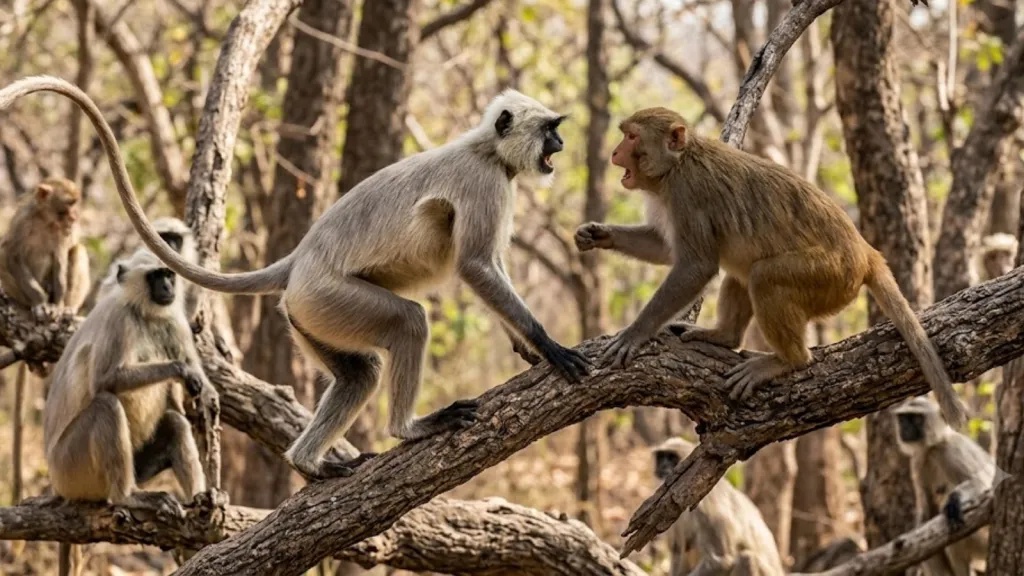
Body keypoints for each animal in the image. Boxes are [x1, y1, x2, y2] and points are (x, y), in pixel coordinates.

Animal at [0, 176, 90, 314]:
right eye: (69, 203)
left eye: (74, 203)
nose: (74, 217)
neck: (45, 219)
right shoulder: (22, 220)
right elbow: (13, 256)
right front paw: (40, 302)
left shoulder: (62, 230)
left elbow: (60, 259)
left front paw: (59, 305)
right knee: (3, 254)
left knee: (78, 250)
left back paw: (69, 308)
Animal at [575, 107, 966, 429]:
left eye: (631, 137)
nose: (614, 153)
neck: (678, 164)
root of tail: (865, 252)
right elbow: (664, 247)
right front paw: (598, 234)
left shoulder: (688, 193)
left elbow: (695, 266)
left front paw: (634, 333)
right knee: (742, 270)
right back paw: (724, 336)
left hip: (831, 277)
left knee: (764, 277)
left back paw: (789, 360)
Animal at [653, 437, 785, 576]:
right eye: (661, 457)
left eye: (671, 458)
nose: (662, 466)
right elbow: (677, 550)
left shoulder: (707, 507)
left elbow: (721, 562)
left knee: (747, 558)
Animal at [894, 397, 994, 576]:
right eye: (903, 419)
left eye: (916, 419)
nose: (905, 428)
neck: (933, 447)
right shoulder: (918, 460)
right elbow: (926, 511)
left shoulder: (951, 449)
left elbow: (984, 482)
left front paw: (954, 501)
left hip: (983, 537)